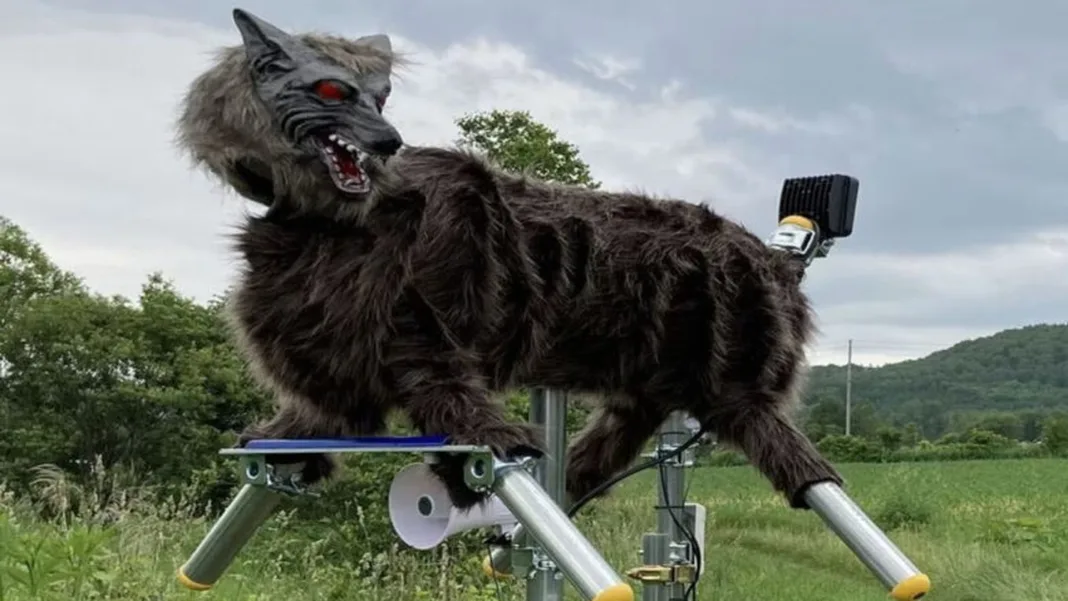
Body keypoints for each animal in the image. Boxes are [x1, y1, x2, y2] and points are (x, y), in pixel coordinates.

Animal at [175, 8, 843, 512]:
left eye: (382, 97)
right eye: (332, 90)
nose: (389, 142)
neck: (320, 226)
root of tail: (776, 261)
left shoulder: (424, 339)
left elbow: (453, 400)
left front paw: (483, 454)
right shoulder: (340, 359)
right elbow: (321, 414)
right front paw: (281, 436)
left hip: (737, 381)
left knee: (796, 456)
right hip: (650, 378)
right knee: (619, 431)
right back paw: (574, 475)